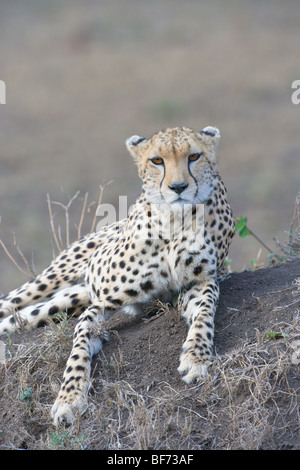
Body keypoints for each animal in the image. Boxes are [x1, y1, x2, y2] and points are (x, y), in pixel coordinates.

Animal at [0, 125, 234, 426]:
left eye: (194, 156)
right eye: (157, 160)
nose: (179, 188)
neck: (174, 220)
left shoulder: (200, 282)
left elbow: (205, 313)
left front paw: (196, 358)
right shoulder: (100, 305)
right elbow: (78, 350)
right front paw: (69, 398)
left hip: (63, 303)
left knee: (20, 319)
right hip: (52, 279)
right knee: (12, 302)